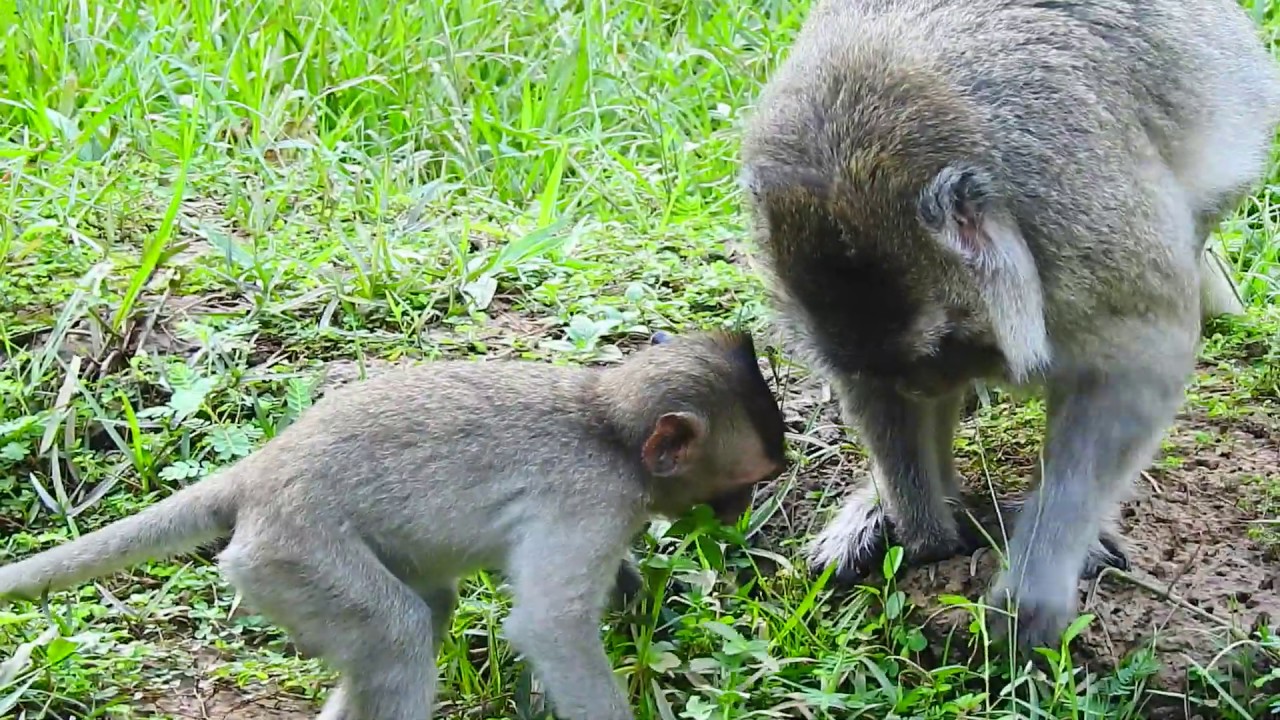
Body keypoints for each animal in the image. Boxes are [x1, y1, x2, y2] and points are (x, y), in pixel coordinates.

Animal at [0, 329, 787, 720]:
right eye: (744, 484)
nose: (738, 515)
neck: (609, 426)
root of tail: (260, 473)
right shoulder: (595, 499)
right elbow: (550, 629)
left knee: (418, 615)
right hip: (289, 552)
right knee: (400, 633)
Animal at [738, 0, 1280, 650]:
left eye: (948, 346)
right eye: (905, 369)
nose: (927, 385)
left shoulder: (1083, 222)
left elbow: (1138, 363)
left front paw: (1037, 580)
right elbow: (873, 395)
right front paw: (920, 522)